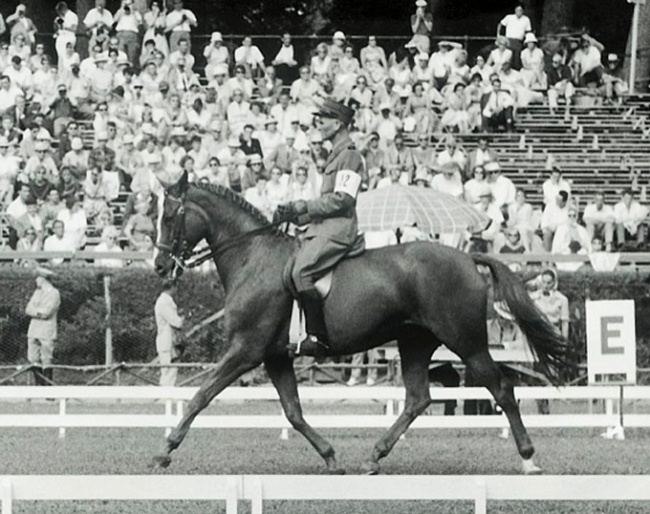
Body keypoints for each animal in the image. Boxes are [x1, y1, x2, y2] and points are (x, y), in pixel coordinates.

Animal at [154, 171, 564, 472]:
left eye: (170, 216)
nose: (159, 266)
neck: (253, 257)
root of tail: (468, 258)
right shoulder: (275, 356)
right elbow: (293, 412)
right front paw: (331, 457)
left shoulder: (245, 350)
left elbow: (200, 396)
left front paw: (165, 451)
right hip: (415, 342)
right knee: (418, 398)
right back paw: (374, 456)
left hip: (468, 342)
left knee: (502, 389)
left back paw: (529, 459)